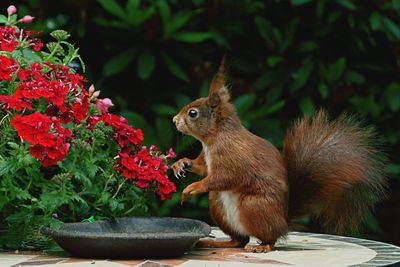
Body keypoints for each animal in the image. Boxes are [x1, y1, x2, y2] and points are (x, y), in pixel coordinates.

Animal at [170, 58, 386, 253]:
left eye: (193, 113)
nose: (173, 120)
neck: (214, 138)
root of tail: (284, 221)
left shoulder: (233, 156)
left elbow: (224, 177)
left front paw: (193, 187)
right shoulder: (208, 159)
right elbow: (203, 168)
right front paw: (182, 164)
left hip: (254, 206)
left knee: (269, 237)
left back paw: (263, 246)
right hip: (218, 204)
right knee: (240, 239)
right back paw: (218, 242)